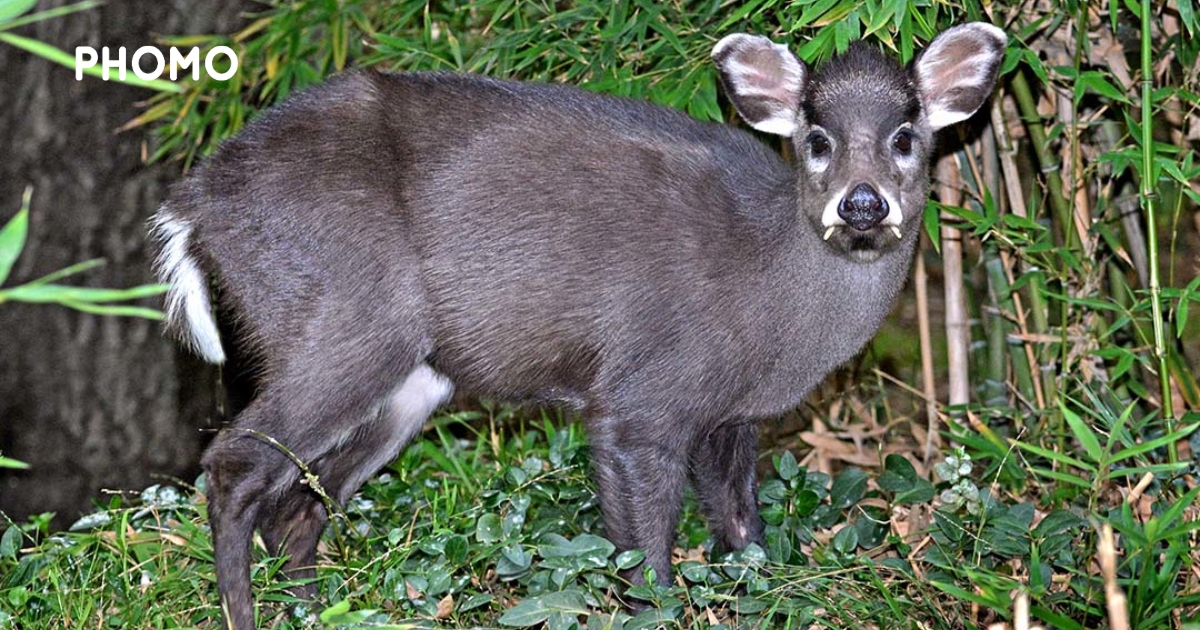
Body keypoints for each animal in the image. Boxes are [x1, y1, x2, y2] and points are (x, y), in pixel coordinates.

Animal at [154, 22, 1008, 624]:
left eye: (905, 135)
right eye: (818, 139)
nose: (863, 206)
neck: (770, 307)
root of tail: (196, 205)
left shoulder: (728, 414)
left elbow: (742, 531)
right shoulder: (640, 394)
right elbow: (646, 562)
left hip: (408, 376)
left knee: (302, 500)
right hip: (343, 313)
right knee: (235, 461)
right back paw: (243, 614)